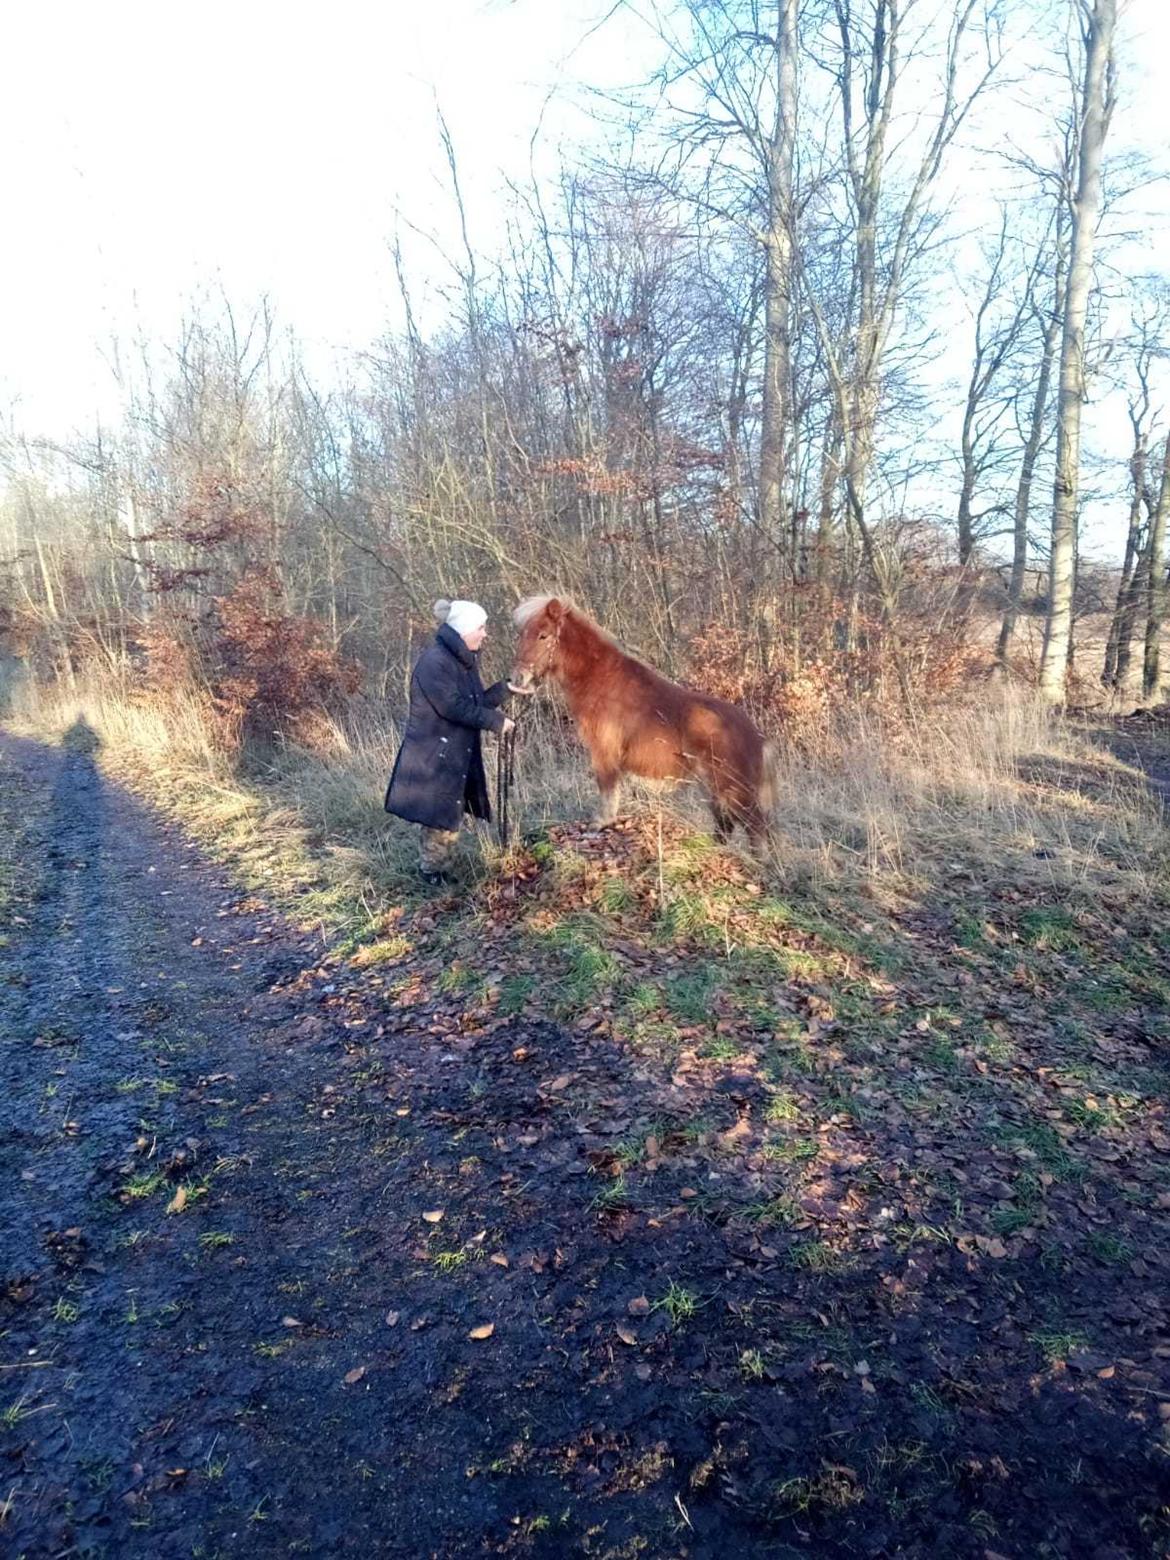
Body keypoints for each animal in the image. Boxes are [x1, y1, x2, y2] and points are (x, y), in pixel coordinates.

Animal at [511, 592, 780, 842]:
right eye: (522, 634)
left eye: (543, 635)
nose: (517, 678)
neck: (601, 681)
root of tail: (758, 737)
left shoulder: (604, 752)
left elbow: (607, 788)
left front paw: (601, 822)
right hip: (714, 790)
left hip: (736, 793)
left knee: (756, 834)